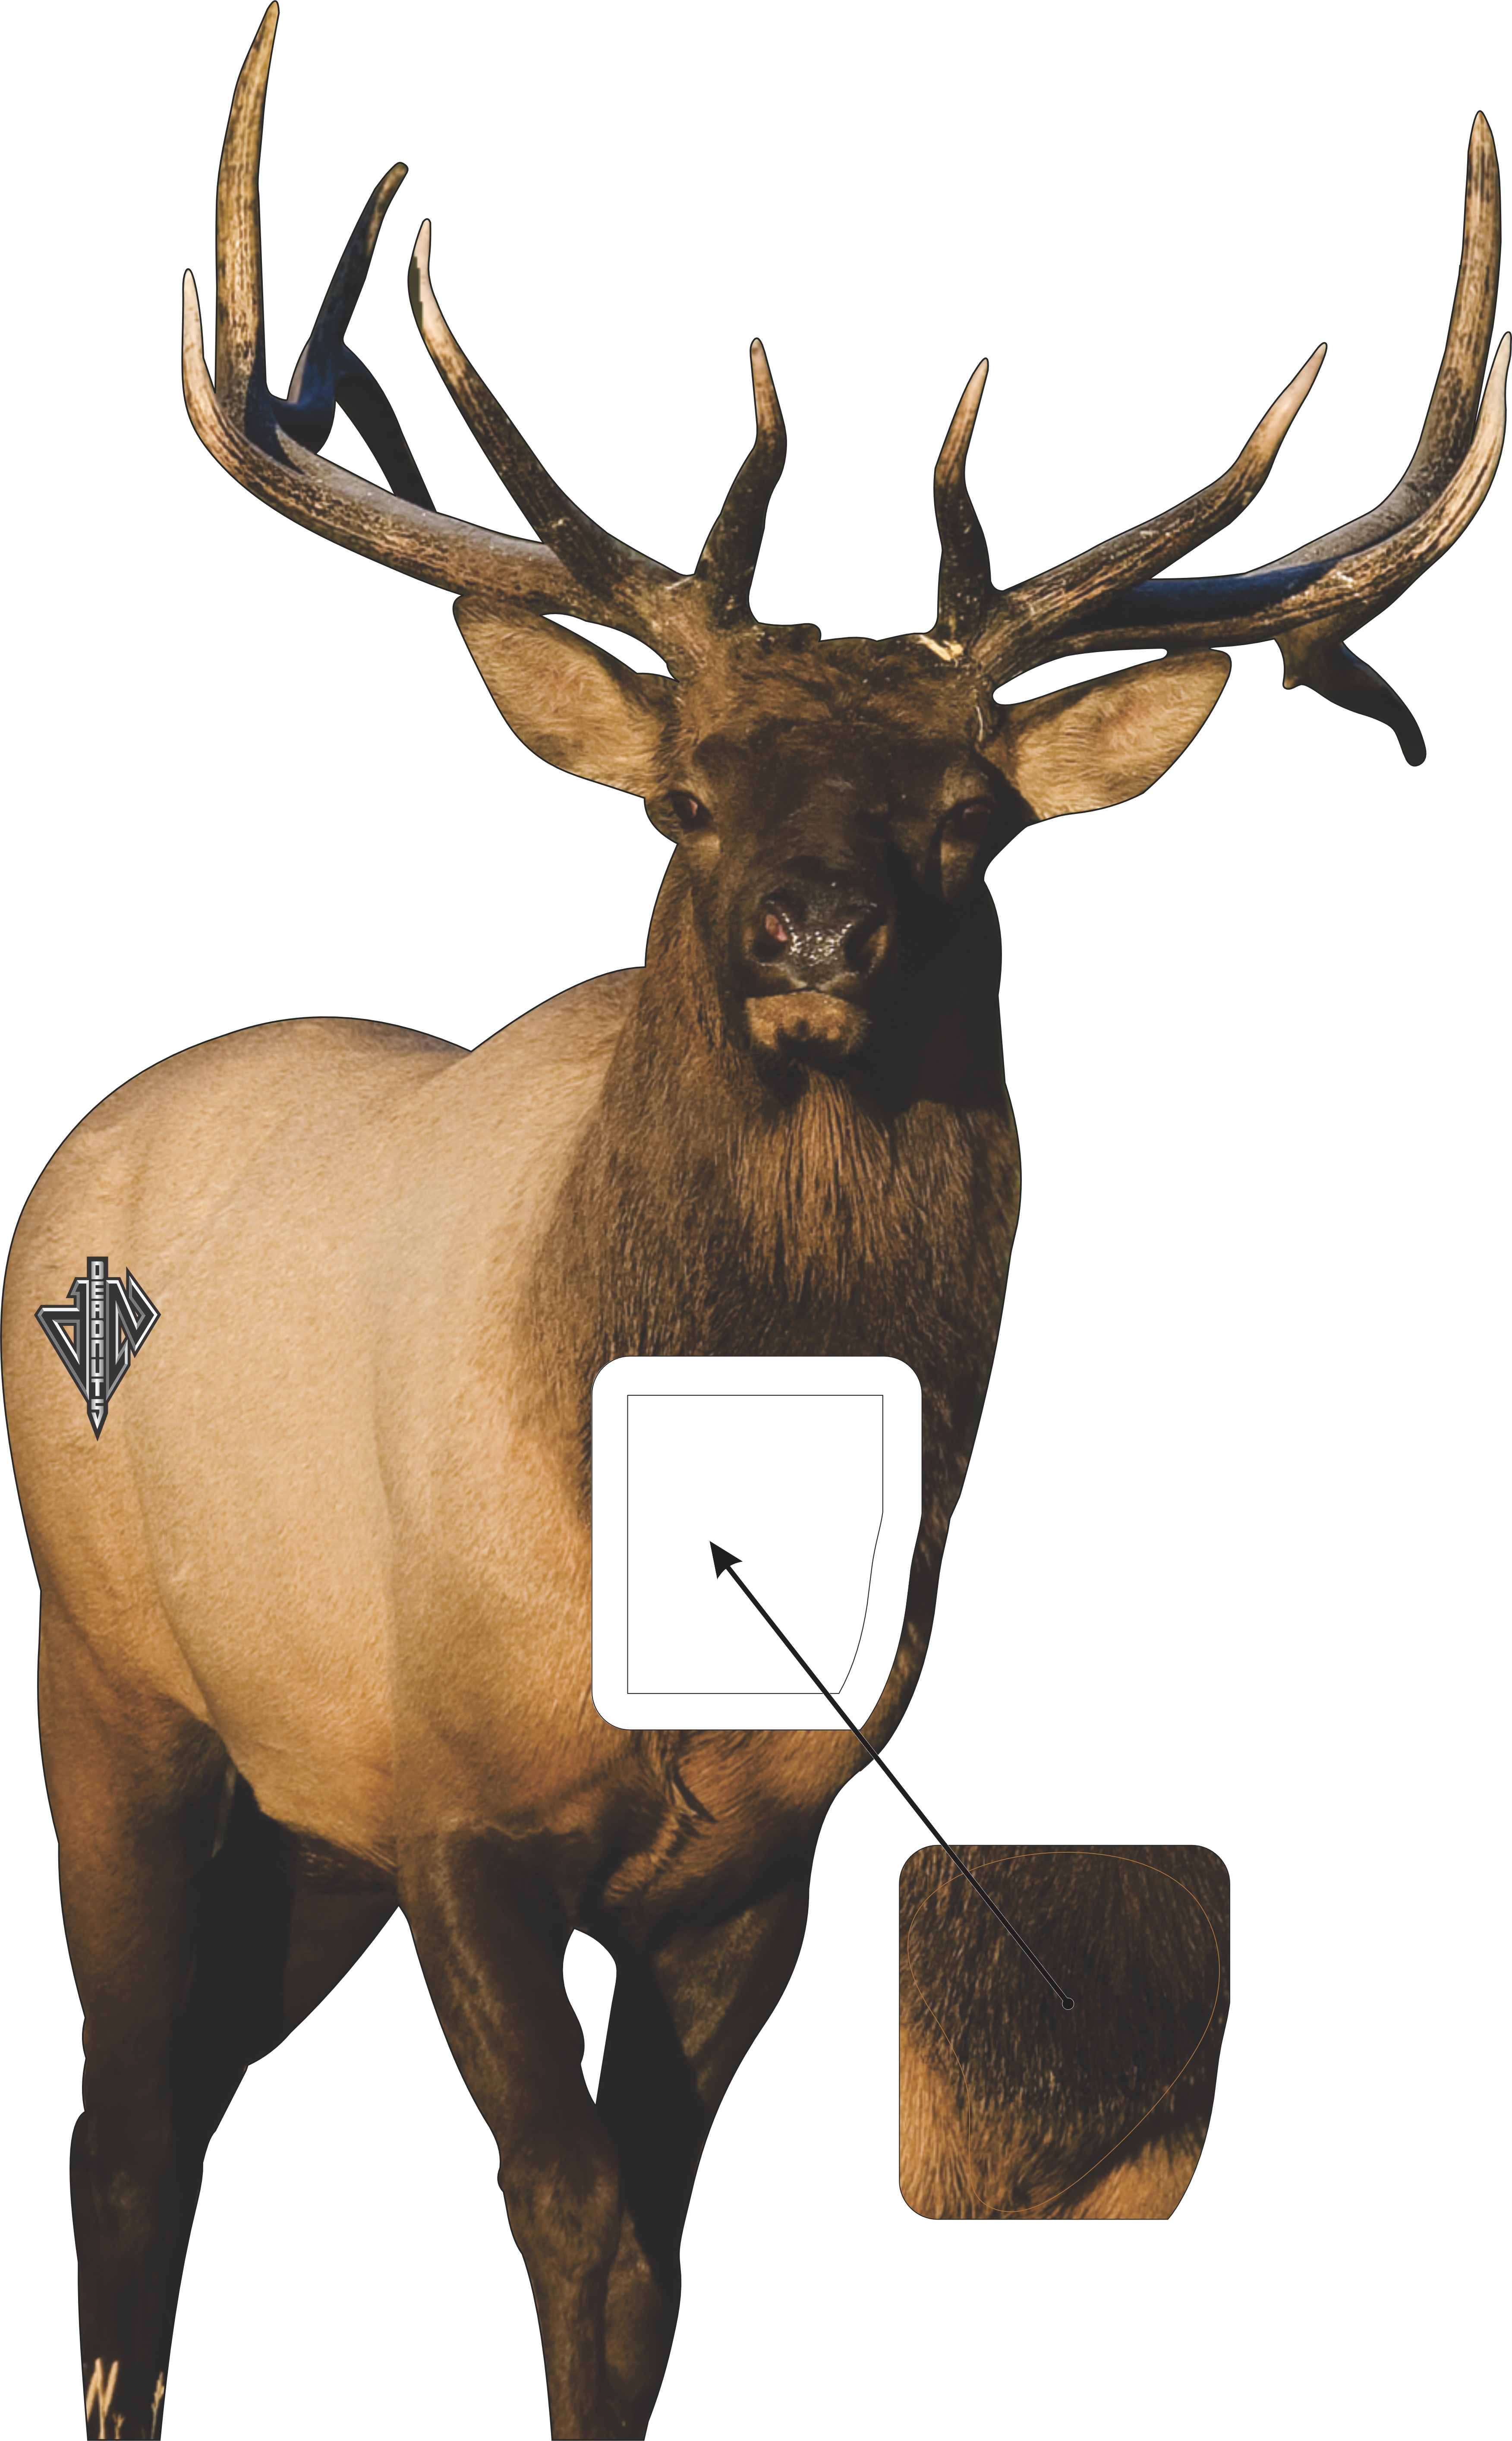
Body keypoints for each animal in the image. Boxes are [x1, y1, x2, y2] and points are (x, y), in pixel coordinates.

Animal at [1, 6, 1503, 2435]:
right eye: (682, 797)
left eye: (972, 813)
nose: (815, 930)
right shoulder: (456, 1817)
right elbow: (576, 2231)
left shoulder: (760, 1863)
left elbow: (653, 2280)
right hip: (116, 1683)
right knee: (126, 2127)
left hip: (299, 1815)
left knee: (195, 2089)